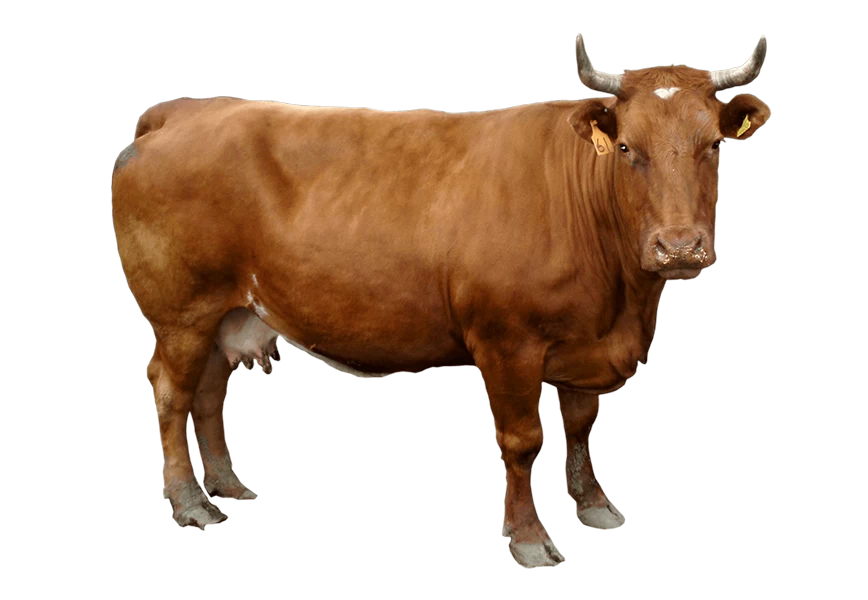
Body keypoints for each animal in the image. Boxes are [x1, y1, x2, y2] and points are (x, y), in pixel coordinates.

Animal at [111, 33, 771, 568]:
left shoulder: (584, 341)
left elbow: (581, 426)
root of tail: (184, 110)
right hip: (180, 312)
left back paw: (226, 485)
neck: (622, 305)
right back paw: (191, 503)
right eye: (629, 148)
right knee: (171, 391)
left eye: (714, 145)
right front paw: (529, 538)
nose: (678, 247)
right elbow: (523, 440)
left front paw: (594, 505)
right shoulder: (507, 342)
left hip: (226, 311)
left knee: (209, 393)